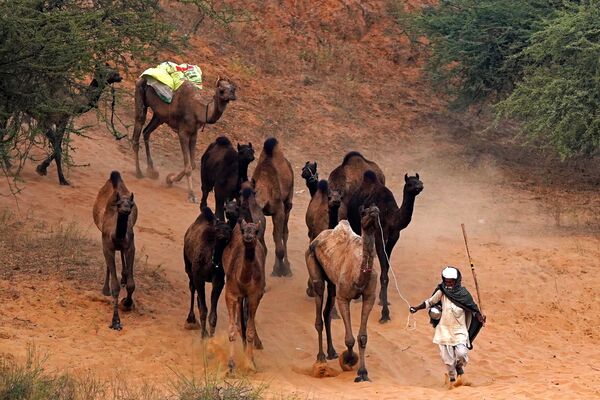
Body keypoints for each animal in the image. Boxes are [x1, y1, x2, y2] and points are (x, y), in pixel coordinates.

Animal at [91, 170, 137, 330]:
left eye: (131, 204)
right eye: (118, 204)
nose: (126, 209)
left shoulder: (130, 245)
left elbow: (131, 284)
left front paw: (127, 303)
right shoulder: (107, 245)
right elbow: (115, 286)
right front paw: (116, 321)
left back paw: (123, 276)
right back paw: (106, 290)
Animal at [223, 219, 264, 372]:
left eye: (256, 231)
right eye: (243, 230)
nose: (248, 237)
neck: (244, 280)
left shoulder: (255, 296)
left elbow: (250, 331)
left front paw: (250, 363)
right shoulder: (231, 293)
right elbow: (232, 330)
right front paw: (230, 365)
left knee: (244, 324)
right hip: (239, 297)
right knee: (240, 323)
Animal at [251, 137, 292, 276]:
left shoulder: (278, 210)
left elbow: (279, 246)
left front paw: (282, 271)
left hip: (288, 202)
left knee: (284, 233)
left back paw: (287, 267)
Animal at [304, 205, 380, 382]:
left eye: (378, 210)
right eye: (363, 213)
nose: (373, 211)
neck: (359, 276)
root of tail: (317, 238)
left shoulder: (370, 296)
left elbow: (362, 337)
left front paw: (363, 372)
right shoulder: (343, 297)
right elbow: (349, 339)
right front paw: (349, 360)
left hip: (332, 282)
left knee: (326, 313)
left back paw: (331, 352)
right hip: (311, 261)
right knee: (319, 306)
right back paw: (321, 359)